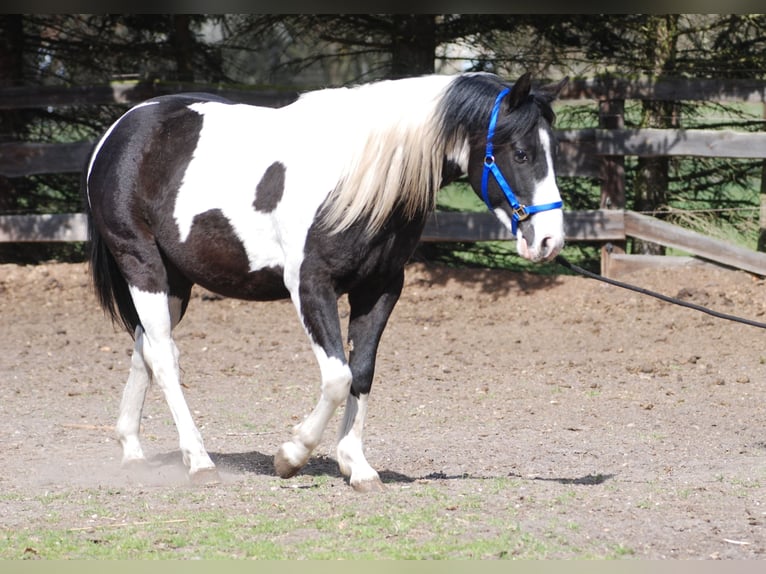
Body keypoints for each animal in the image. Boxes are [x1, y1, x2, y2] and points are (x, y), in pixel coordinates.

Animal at [84, 71, 567, 492]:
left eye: (553, 151)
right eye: (521, 153)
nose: (549, 240)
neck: (355, 176)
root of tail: (123, 128)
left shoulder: (380, 288)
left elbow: (361, 372)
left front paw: (357, 466)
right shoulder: (310, 286)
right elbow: (337, 376)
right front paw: (291, 455)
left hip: (175, 283)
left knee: (146, 348)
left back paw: (132, 450)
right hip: (142, 264)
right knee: (165, 358)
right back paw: (199, 462)